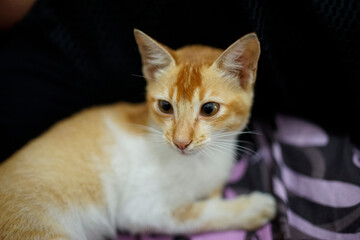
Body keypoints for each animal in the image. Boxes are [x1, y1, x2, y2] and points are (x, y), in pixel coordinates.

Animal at [0, 30, 276, 240]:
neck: (201, 160)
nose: (181, 142)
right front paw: (252, 208)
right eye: (165, 107)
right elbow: (198, 213)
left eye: (209, 109)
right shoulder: (142, 210)